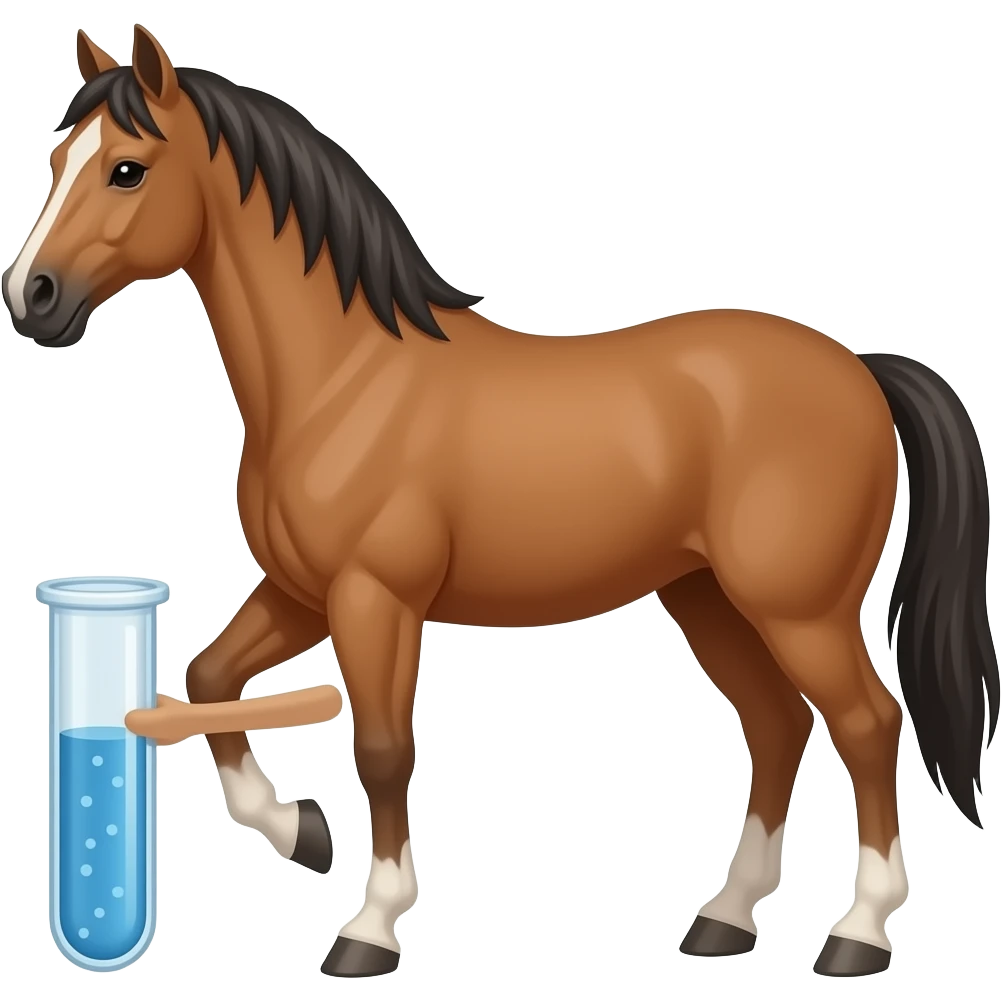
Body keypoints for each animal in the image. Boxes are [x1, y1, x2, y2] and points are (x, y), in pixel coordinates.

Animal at [6, 23, 997, 981]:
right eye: (56, 159)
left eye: (127, 168)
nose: (31, 297)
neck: (344, 381)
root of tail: (860, 369)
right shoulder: (302, 595)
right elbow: (210, 680)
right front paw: (302, 833)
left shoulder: (375, 600)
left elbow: (382, 750)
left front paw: (369, 928)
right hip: (708, 597)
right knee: (778, 724)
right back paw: (725, 920)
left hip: (799, 609)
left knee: (868, 725)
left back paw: (859, 934)